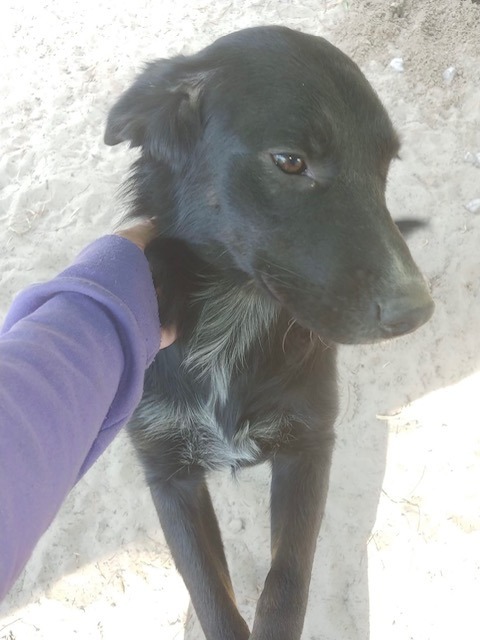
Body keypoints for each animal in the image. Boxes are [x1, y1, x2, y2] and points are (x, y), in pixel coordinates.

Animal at [105, 26, 436, 640]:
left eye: (386, 164)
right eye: (290, 161)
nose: (417, 310)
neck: (236, 313)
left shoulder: (309, 445)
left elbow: (287, 581)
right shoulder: (168, 474)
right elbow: (210, 594)